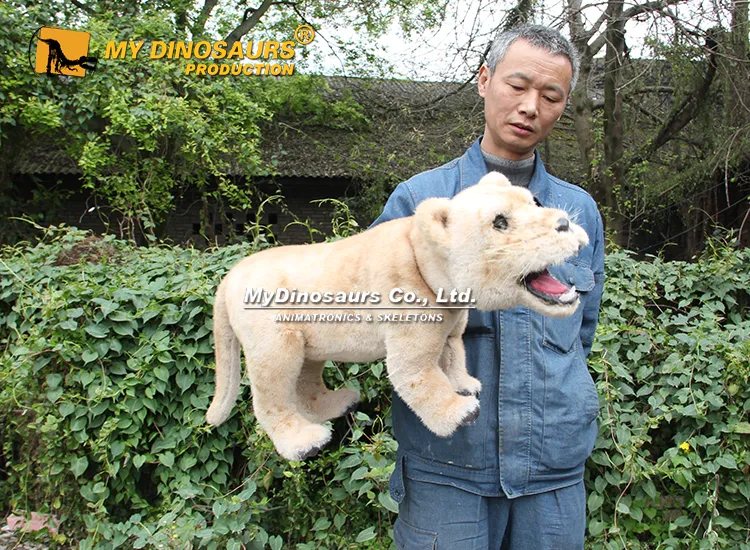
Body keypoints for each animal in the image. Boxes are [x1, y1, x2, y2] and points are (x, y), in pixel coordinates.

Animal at [206, 172, 589, 461]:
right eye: (500, 221)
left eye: (534, 202)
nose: (565, 223)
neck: (429, 263)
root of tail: (229, 278)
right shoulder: (409, 331)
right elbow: (419, 377)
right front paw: (461, 411)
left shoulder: (451, 327)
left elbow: (453, 356)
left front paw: (466, 384)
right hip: (275, 341)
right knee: (270, 395)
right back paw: (304, 441)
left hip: (308, 345)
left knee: (306, 381)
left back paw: (339, 402)